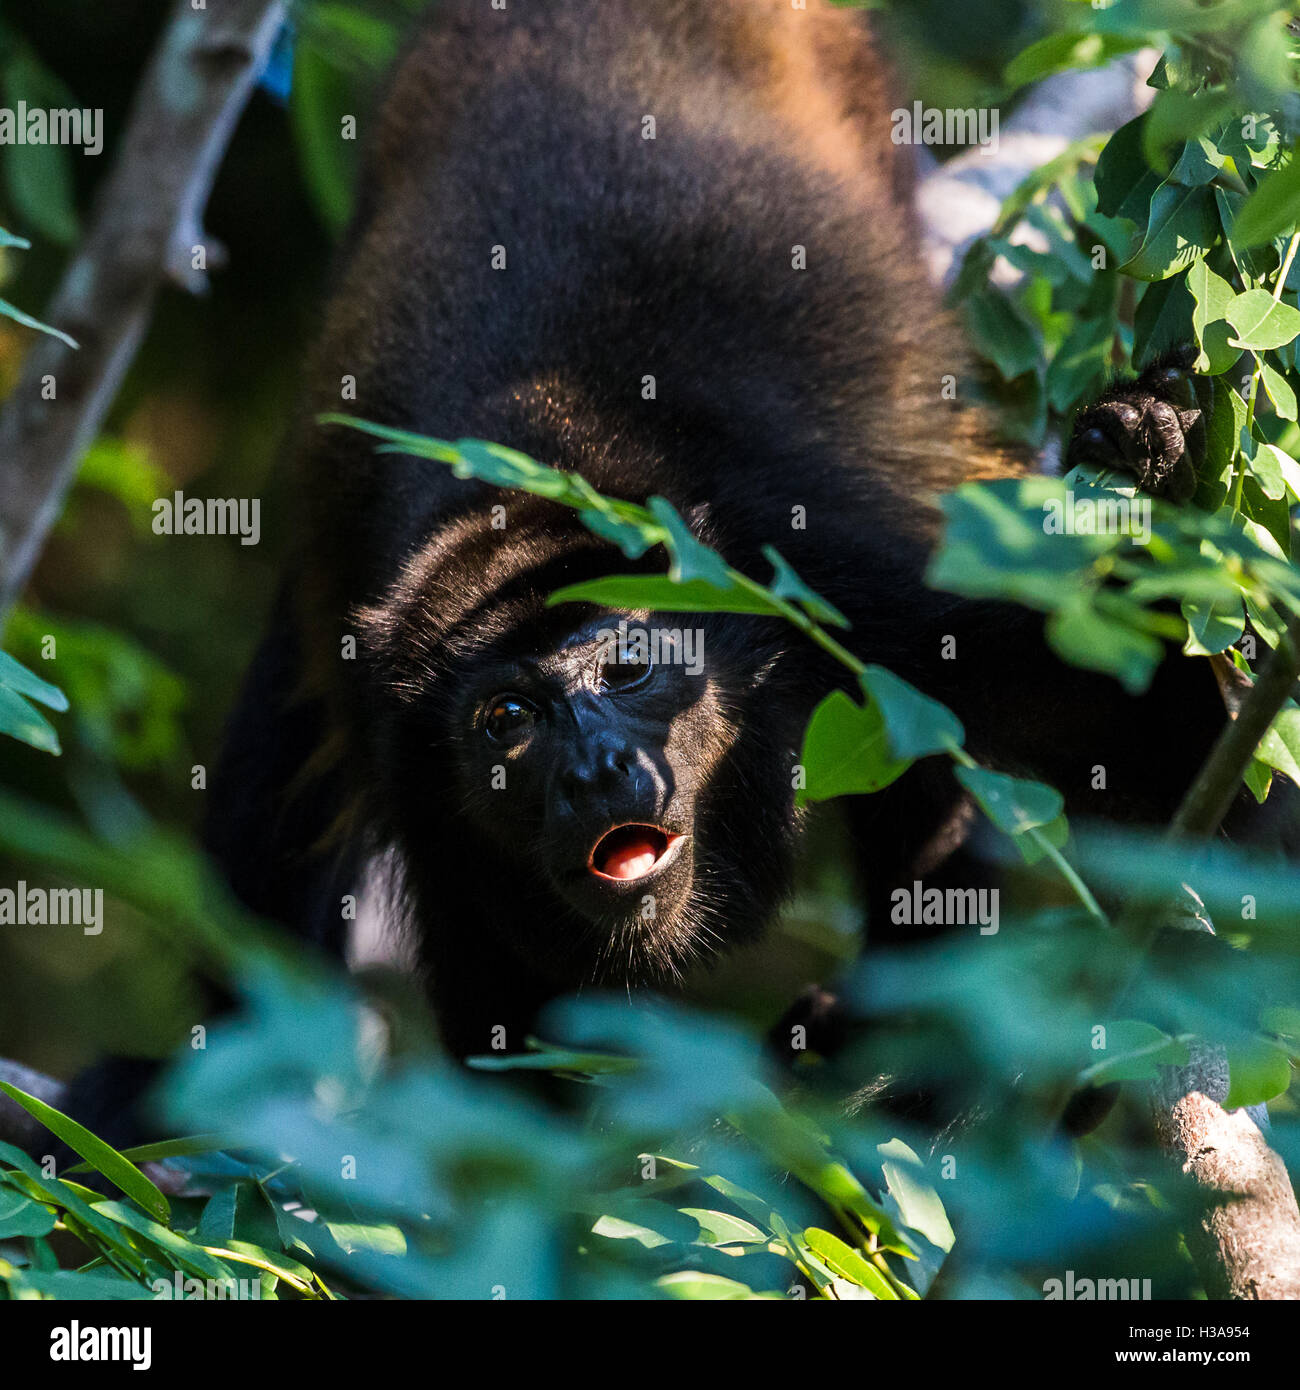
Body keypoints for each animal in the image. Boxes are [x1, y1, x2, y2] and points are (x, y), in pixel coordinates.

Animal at [53, 0, 1262, 1139]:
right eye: (505, 720)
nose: (594, 769)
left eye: (629, 667)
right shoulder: (409, 750)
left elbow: (1184, 768)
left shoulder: (832, 572)